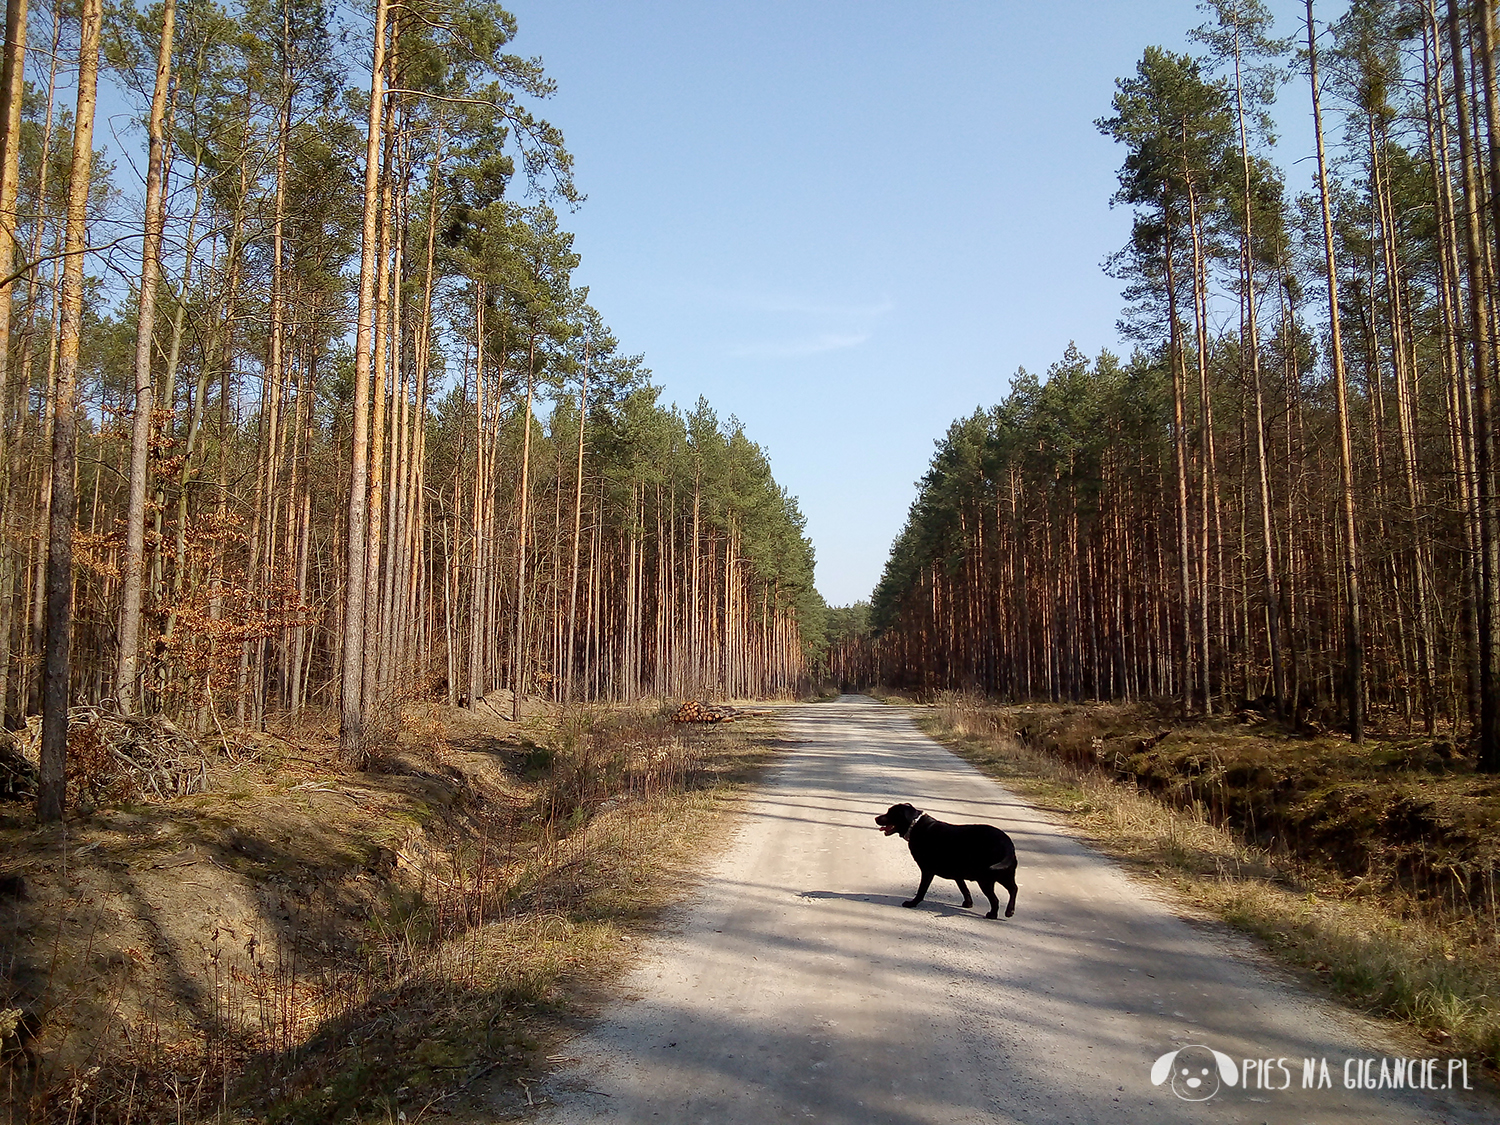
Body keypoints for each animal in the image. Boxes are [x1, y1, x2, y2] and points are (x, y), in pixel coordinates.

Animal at [876, 798, 1014, 918]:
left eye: (890, 813)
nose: (875, 818)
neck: (914, 826)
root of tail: (1007, 842)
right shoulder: (958, 873)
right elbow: (964, 889)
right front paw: (968, 903)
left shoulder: (927, 870)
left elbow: (921, 890)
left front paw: (912, 903)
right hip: (1004, 874)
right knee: (1013, 888)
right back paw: (1009, 911)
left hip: (985, 878)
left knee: (995, 899)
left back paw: (993, 915)